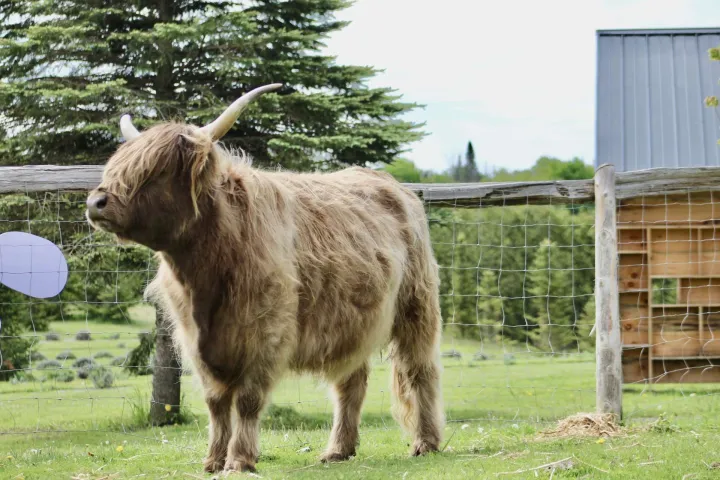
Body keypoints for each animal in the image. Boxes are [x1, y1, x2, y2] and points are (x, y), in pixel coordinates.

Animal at [85, 84, 445, 474]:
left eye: (155, 170)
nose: (96, 202)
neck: (204, 273)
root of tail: (394, 185)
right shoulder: (194, 339)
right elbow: (216, 402)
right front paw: (213, 459)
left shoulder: (264, 333)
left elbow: (247, 400)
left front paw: (239, 459)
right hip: (353, 323)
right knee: (352, 382)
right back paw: (338, 449)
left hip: (416, 308)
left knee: (419, 371)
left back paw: (426, 443)